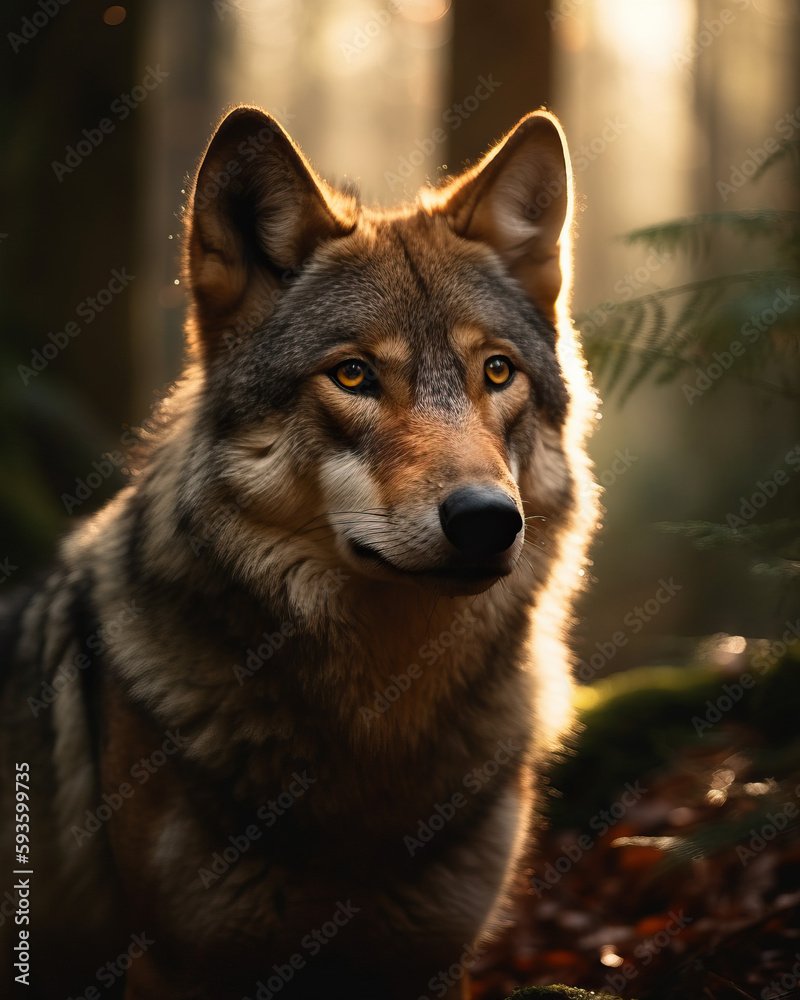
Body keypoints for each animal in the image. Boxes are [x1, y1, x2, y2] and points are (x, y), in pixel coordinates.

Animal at [0, 106, 596, 999]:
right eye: (352, 376)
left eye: (497, 372)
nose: (489, 520)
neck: (378, 729)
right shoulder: (178, 963)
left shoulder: (435, 956)